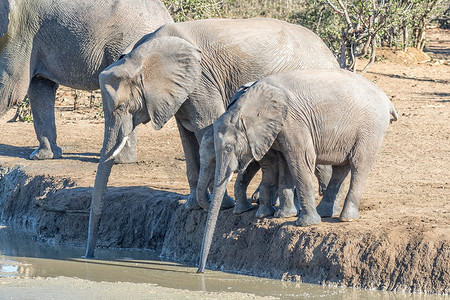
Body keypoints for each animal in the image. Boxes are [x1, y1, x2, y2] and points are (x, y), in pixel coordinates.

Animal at [0, 0, 172, 163]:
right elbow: (39, 88)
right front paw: (42, 157)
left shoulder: (20, 32)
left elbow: (11, 91)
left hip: (128, 45)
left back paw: (117, 160)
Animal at [86, 17, 342, 258]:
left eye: (121, 107)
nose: (89, 255)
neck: (140, 55)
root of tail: (329, 53)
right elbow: (187, 137)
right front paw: (192, 207)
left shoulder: (201, 83)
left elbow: (204, 127)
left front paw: (220, 205)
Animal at [197, 69, 398, 274]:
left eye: (229, 148)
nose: (200, 272)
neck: (247, 104)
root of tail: (387, 100)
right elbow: (285, 162)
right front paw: (283, 216)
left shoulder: (293, 122)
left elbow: (300, 158)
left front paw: (304, 223)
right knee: (341, 168)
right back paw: (325, 213)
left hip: (371, 128)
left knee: (359, 165)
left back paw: (345, 219)